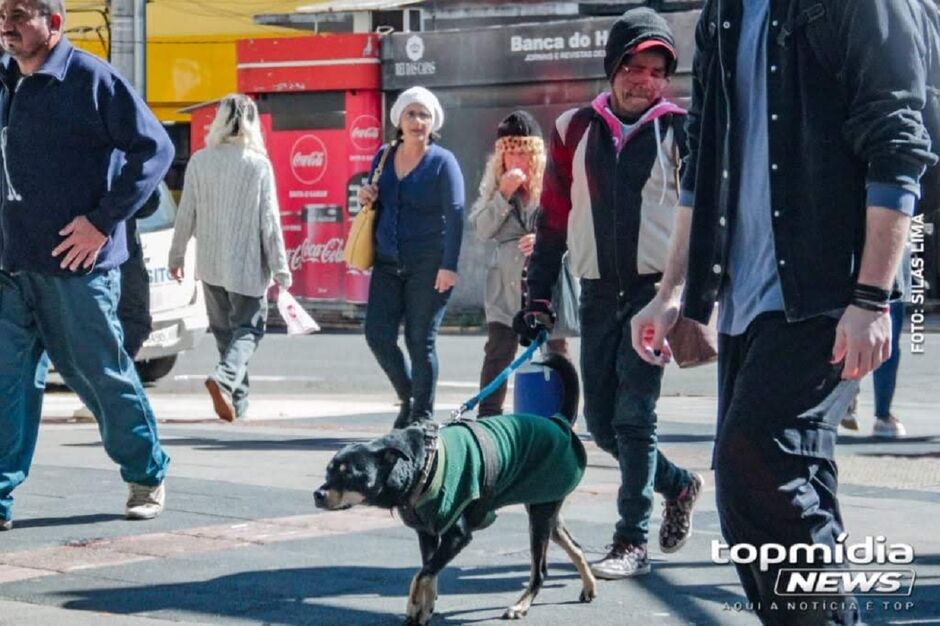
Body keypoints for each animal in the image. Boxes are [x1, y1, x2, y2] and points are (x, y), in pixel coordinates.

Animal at [314, 352, 596, 624]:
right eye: (328, 471)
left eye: (349, 473)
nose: (318, 494)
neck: (422, 463)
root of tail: (558, 422)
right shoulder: (427, 532)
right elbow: (429, 571)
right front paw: (426, 608)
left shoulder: (457, 535)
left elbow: (421, 574)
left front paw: (414, 605)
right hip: (546, 511)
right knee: (575, 545)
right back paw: (589, 586)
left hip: (539, 517)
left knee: (540, 570)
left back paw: (521, 605)